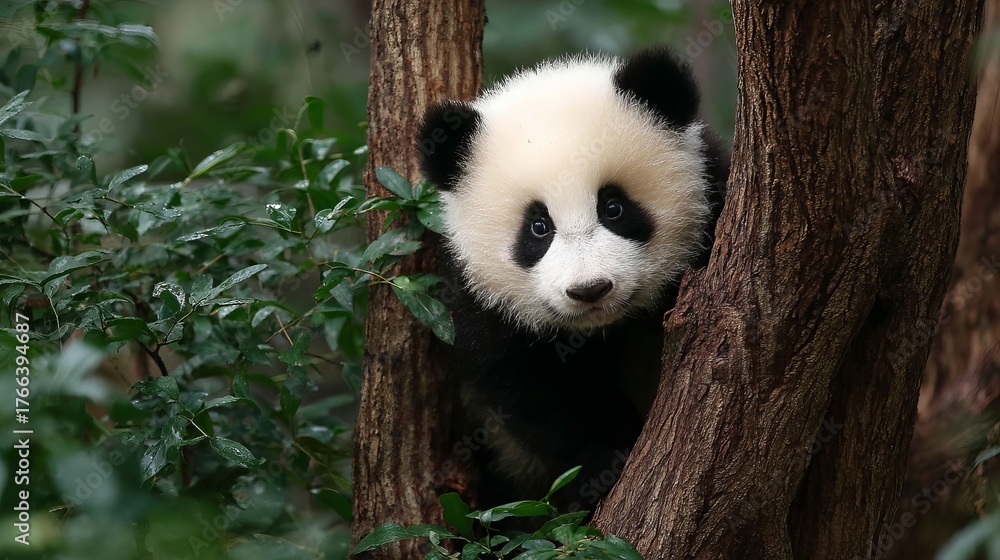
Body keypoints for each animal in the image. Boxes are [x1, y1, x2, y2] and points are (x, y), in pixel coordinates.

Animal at [417, 47, 728, 510]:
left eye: (613, 207)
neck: (606, 329)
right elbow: (533, 393)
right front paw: (604, 465)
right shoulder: (479, 301)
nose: (590, 289)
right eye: (538, 227)